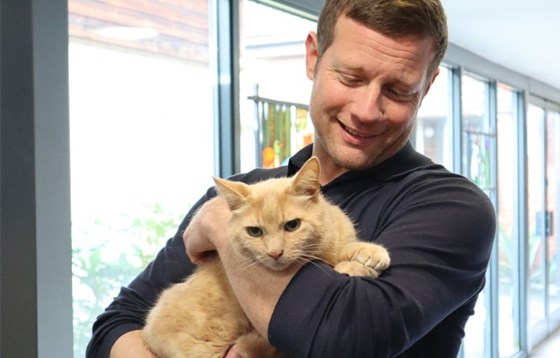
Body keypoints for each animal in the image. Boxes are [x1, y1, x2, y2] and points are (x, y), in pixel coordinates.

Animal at [142, 158, 392, 358]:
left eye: (292, 225)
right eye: (255, 231)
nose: (275, 253)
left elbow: (346, 247)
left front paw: (367, 253)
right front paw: (353, 266)